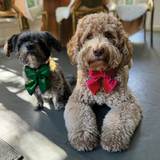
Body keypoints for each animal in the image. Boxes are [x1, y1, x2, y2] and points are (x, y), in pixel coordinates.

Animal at [64, 12, 142, 151]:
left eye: (108, 35)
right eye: (89, 36)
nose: (98, 50)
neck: (100, 74)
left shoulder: (127, 102)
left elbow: (118, 119)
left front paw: (113, 139)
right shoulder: (77, 100)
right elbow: (81, 118)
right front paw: (84, 138)